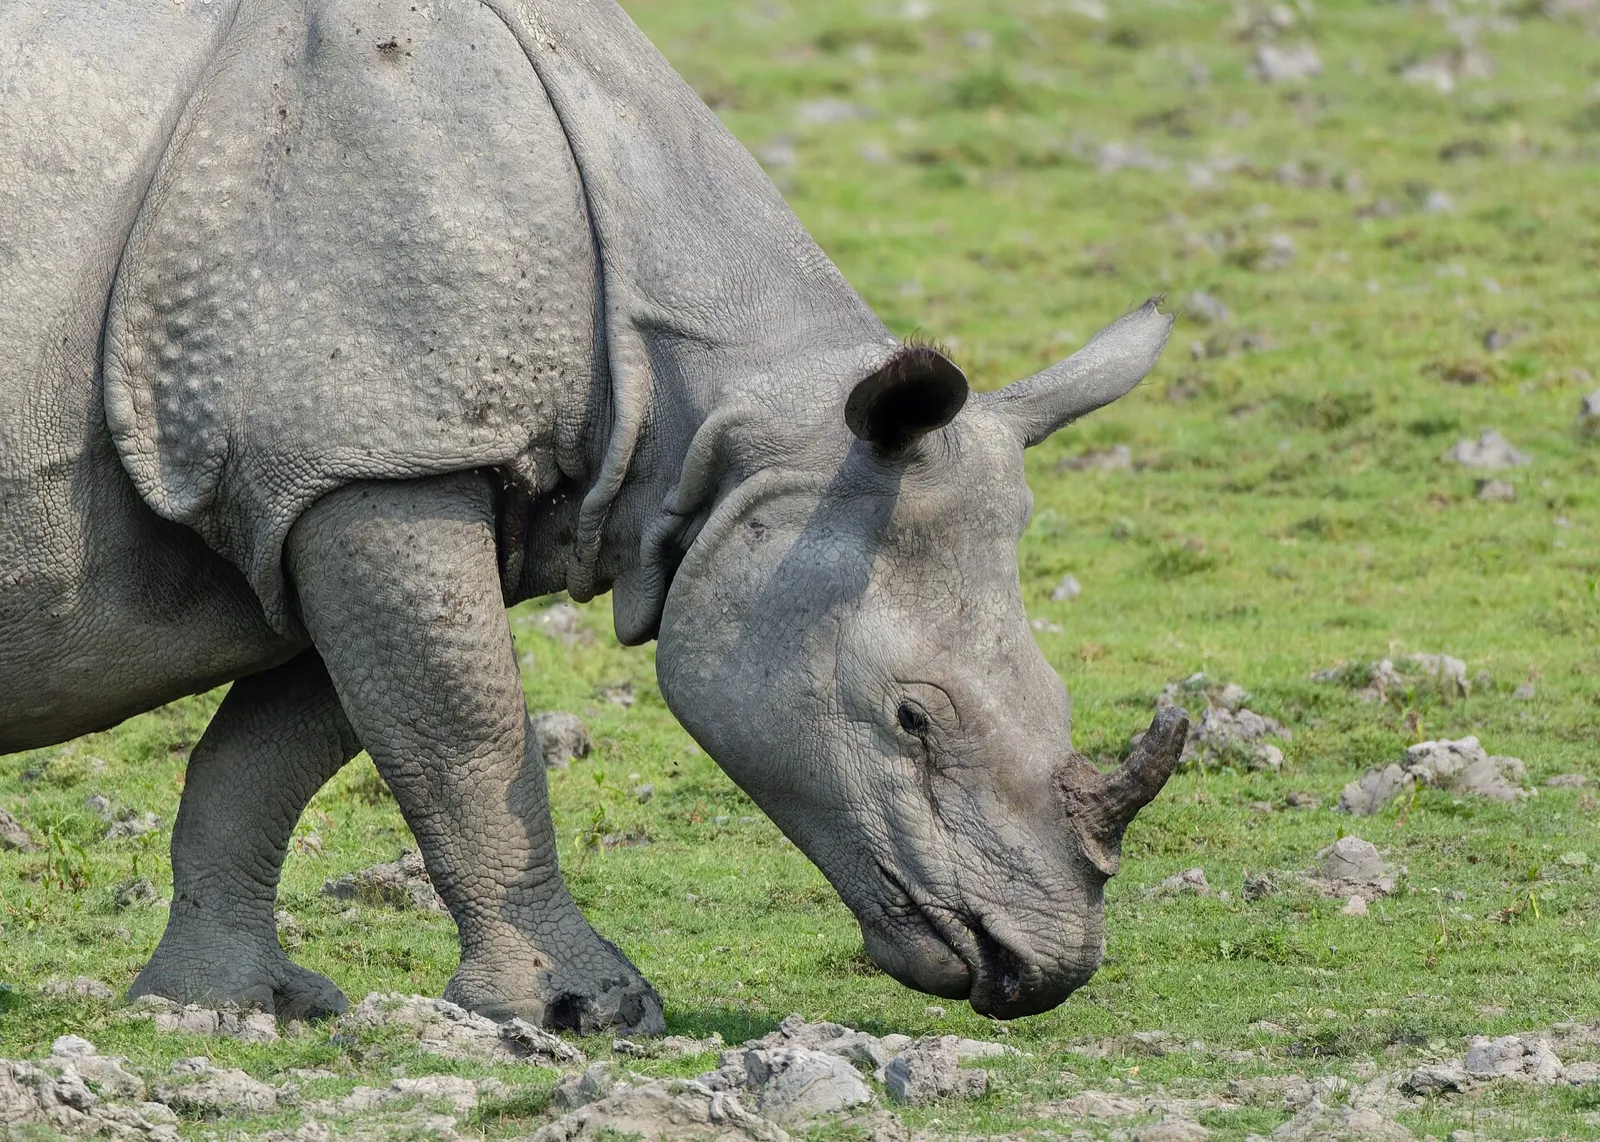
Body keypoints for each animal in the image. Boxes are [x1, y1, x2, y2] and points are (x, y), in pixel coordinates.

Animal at [0, 0, 1186, 1032]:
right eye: (910, 719)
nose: (1040, 967)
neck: (724, 414)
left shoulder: (364, 469)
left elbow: (276, 753)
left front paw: (229, 1006)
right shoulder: (369, 453)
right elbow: (465, 734)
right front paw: (581, 1012)